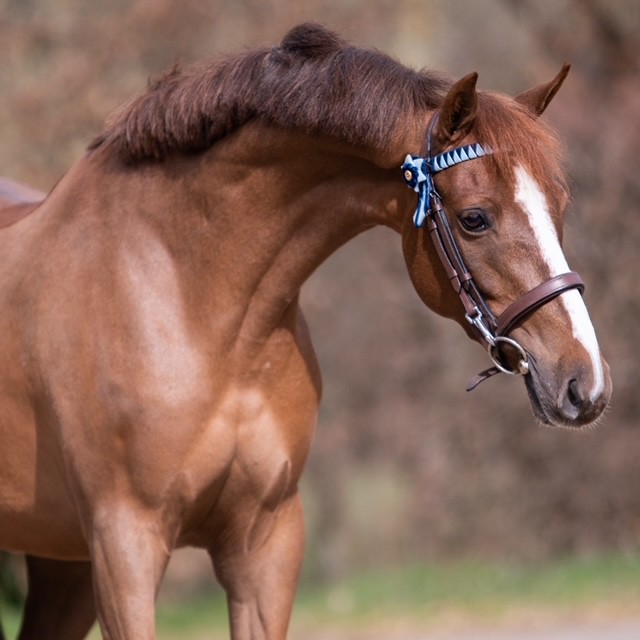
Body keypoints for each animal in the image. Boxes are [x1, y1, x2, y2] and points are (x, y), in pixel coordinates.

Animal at [0, 22, 608, 636]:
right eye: (475, 218)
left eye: (560, 206)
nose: (586, 384)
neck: (192, 300)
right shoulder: (125, 545)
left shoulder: (266, 543)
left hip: (65, 564)